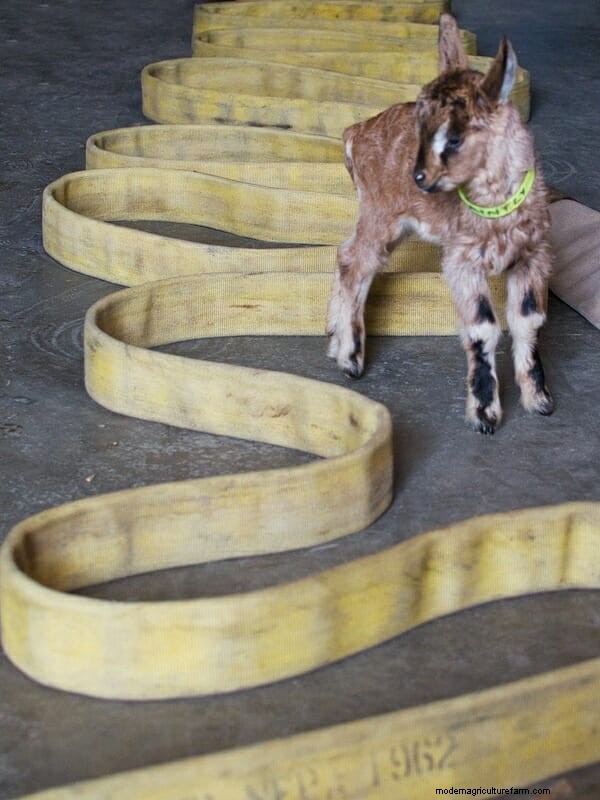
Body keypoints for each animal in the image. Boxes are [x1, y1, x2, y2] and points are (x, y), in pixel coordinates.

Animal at [327, 13, 554, 434]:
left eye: (455, 138)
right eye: (421, 127)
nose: (420, 178)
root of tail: (353, 135)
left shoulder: (533, 255)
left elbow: (528, 319)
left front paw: (539, 400)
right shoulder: (462, 259)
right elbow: (483, 326)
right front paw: (485, 415)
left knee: (347, 255)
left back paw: (335, 339)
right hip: (381, 211)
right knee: (356, 262)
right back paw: (350, 358)